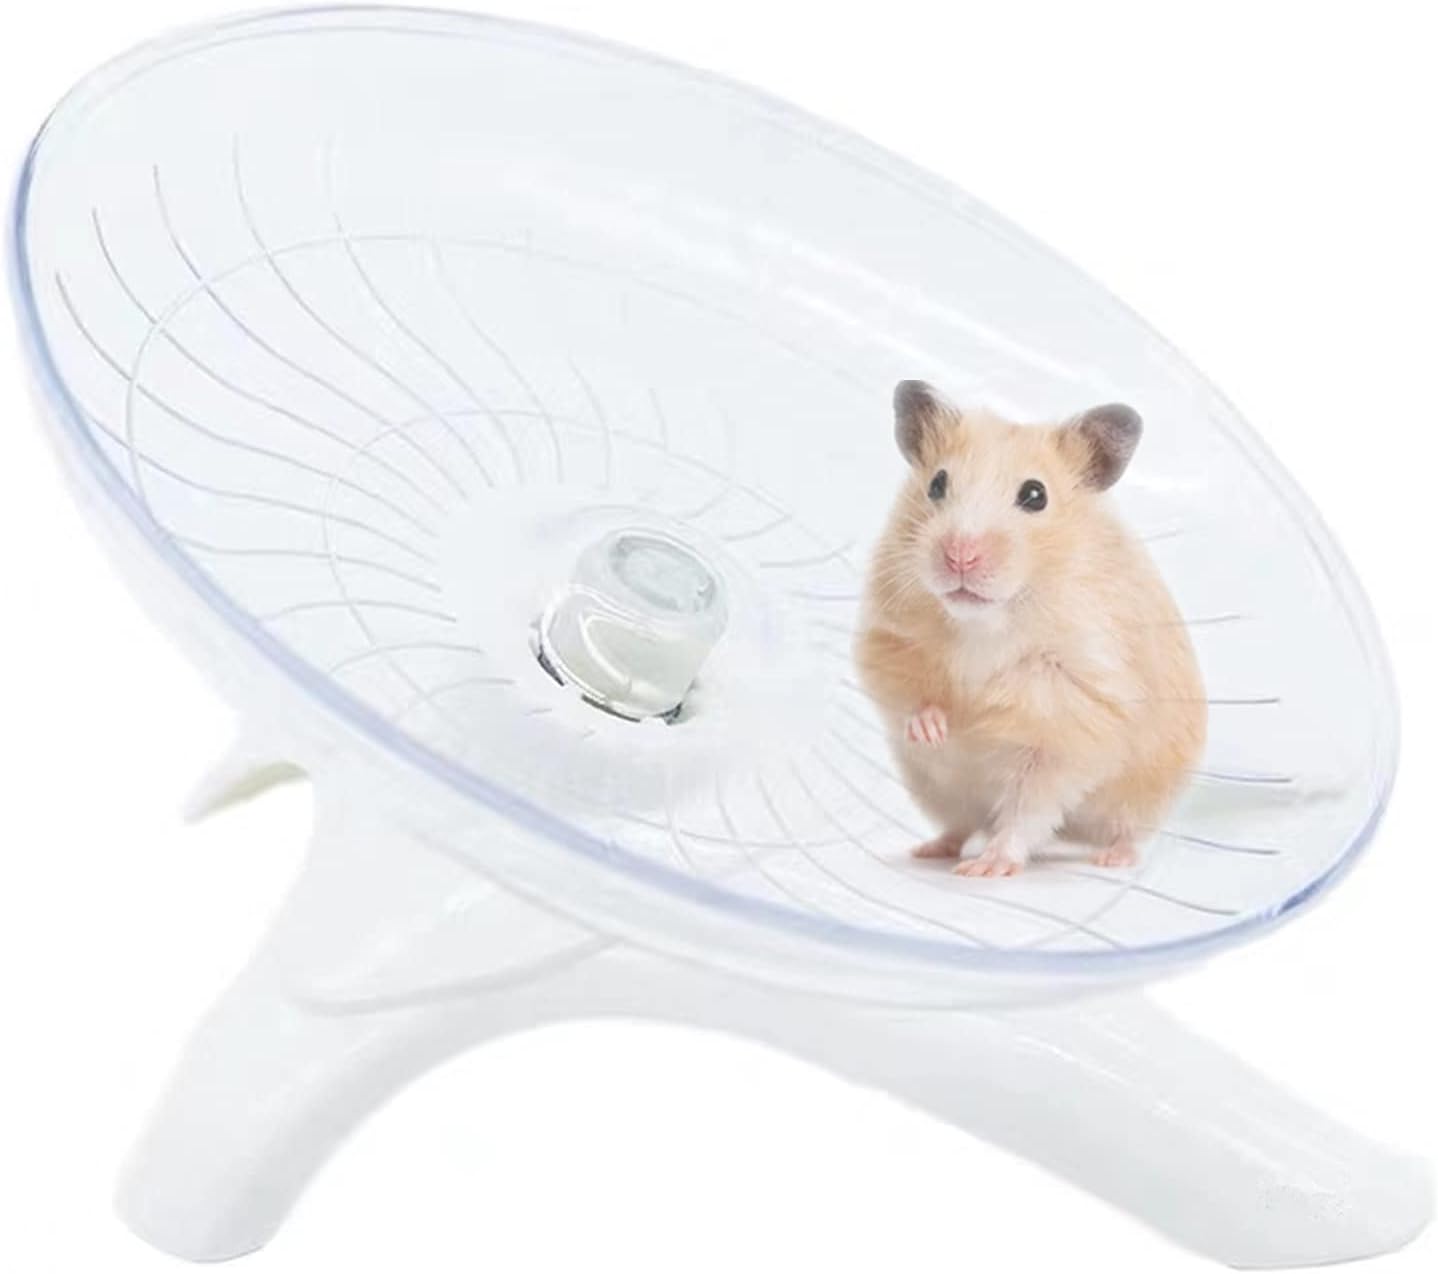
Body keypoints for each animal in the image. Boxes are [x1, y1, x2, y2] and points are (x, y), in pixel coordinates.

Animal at [855, 380, 1206, 877]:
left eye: (1035, 495)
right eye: (937, 484)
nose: (959, 555)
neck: (984, 622)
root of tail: (1078, 835)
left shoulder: (1074, 714)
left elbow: (1028, 805)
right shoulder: (887, 638)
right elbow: (908, 694)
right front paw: (938, 728)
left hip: (1142, 799)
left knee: (1119, 832)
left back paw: (1107, 859)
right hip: (935, 789)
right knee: (960, 824)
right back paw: (929, 849)